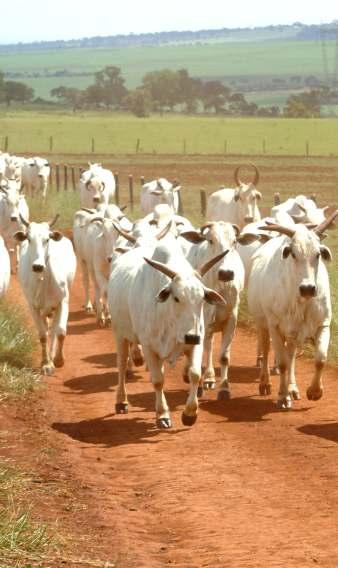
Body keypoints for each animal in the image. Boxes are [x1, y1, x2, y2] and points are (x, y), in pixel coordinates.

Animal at [15, 215, 76, 374]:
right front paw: (46, 363)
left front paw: (59, 360)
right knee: (47, 330)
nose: (37, 266)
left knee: (54, 330)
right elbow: (42, 335)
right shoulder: (33, 306)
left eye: (47, 239)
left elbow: (61, 332)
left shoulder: (63, 302)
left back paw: (53, 355)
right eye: (29, 239)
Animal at [247, 213, 336, 408]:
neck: (301, 301)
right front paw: (282, 397)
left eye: (318, 254)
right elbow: (282, 364)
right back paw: (266, 384)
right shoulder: (275, 327)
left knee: (292, 357)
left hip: (292, 334)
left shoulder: (323, 324)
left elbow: (320, 359)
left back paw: (293, 388)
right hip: (263, 324)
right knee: (266, 351)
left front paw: (314, 391)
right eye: (293, 254)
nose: (308, 288)